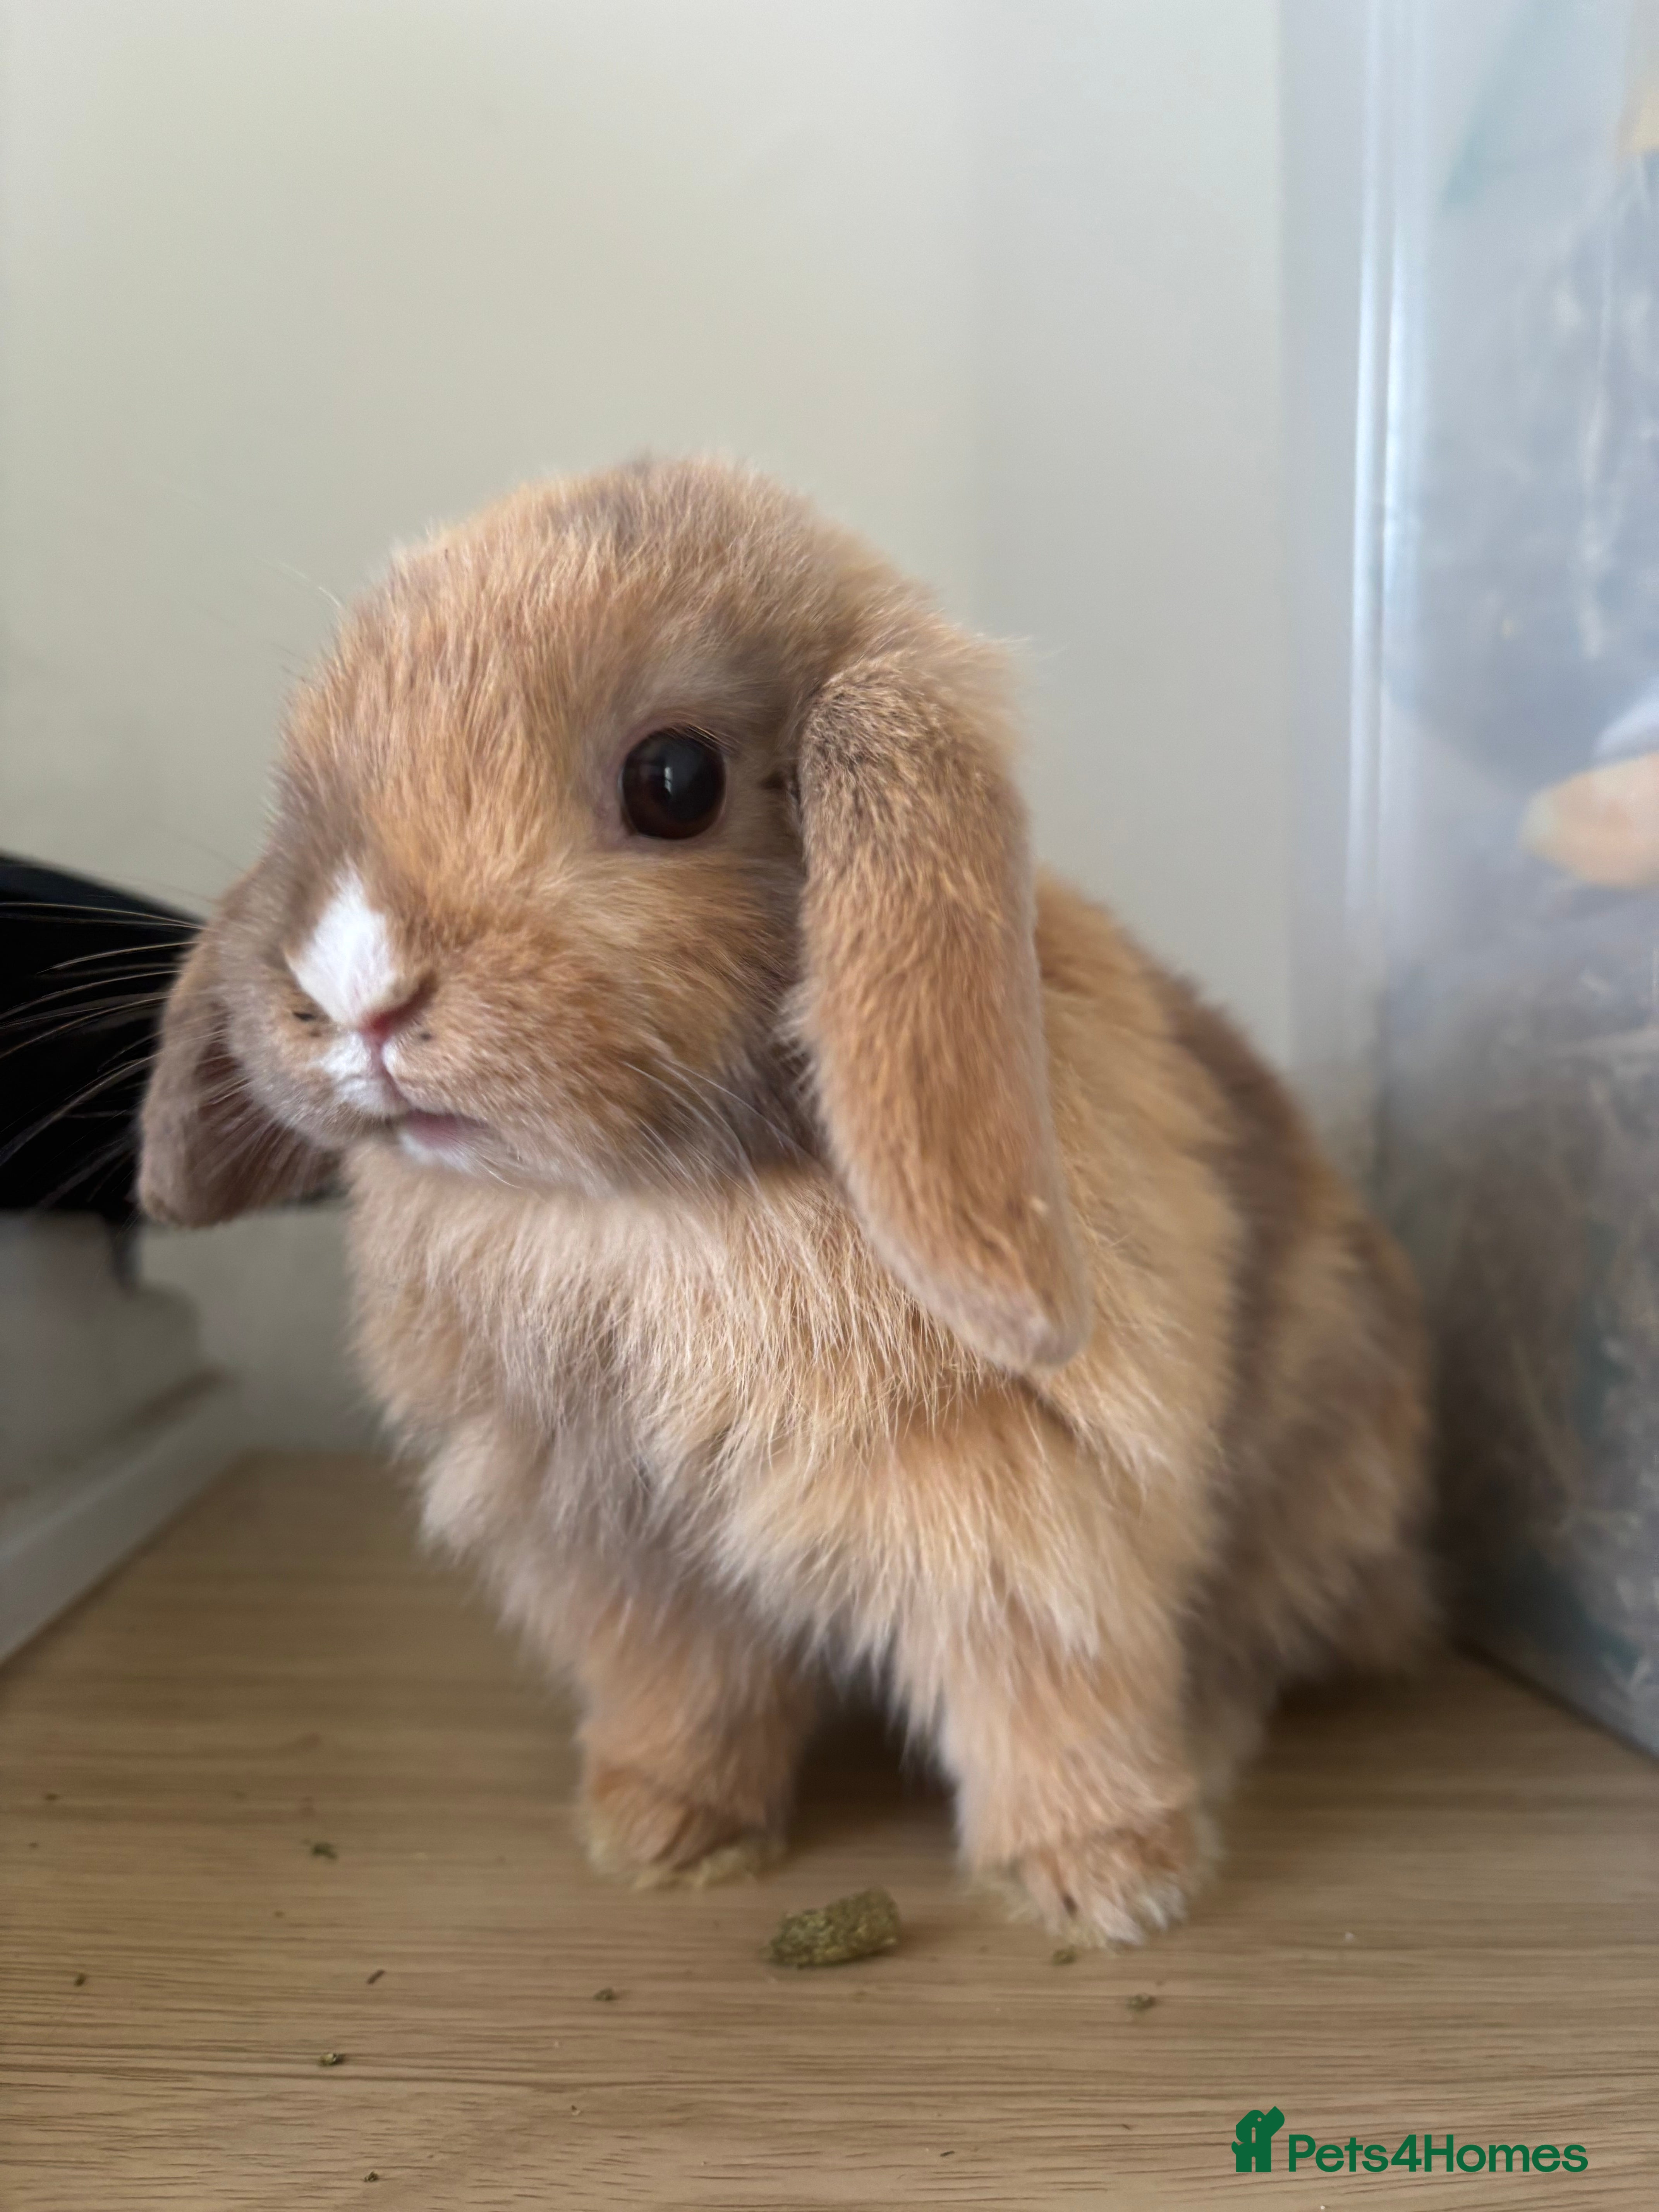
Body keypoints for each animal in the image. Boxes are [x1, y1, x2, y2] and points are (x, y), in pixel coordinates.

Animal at [139, 457, 1434, 1944]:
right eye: (312, 775)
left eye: (675, 780)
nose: (356, 989)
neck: (649, 1209)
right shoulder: (635, 1553)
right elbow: (690, 1696)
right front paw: (656, 1833)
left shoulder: (1035, 1515)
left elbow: (1049, 1692)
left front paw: (1107, 1883)